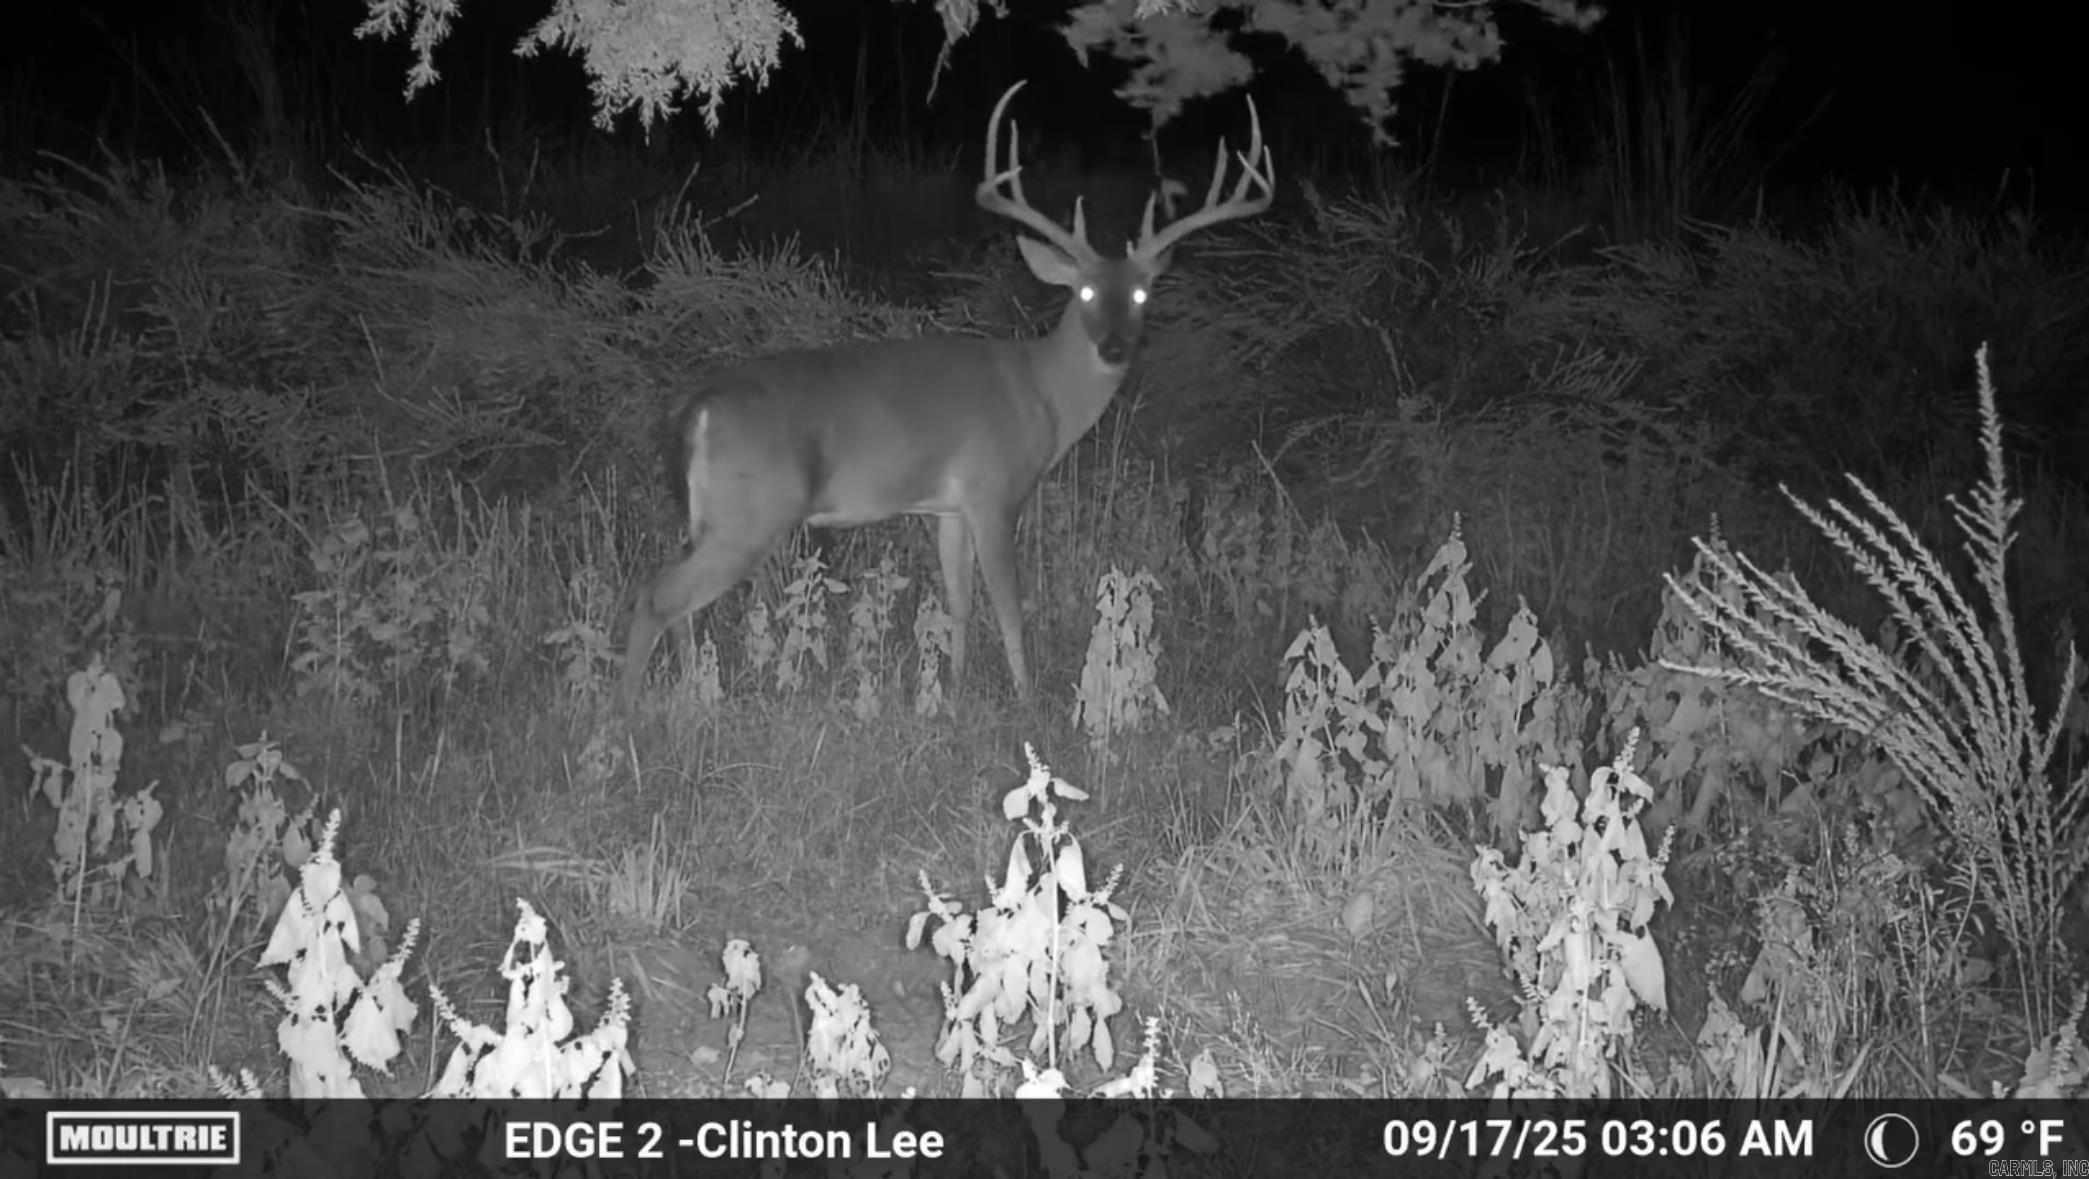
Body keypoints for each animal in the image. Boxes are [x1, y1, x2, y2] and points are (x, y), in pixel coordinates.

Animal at [618, 80, 1275, 713]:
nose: (1114, 348)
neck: (1041, 391)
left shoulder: (948, 508)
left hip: (712, 515)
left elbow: (958, 601)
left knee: (675, 600)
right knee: (658, 597)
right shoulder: (993, 491)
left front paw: (951, 693)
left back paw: (694, 694)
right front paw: (1026, 701)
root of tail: (698, 408)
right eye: (1085, 293)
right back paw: (629, 708)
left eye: (1141, 295)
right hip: (752, 513)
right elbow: (1008, 606)